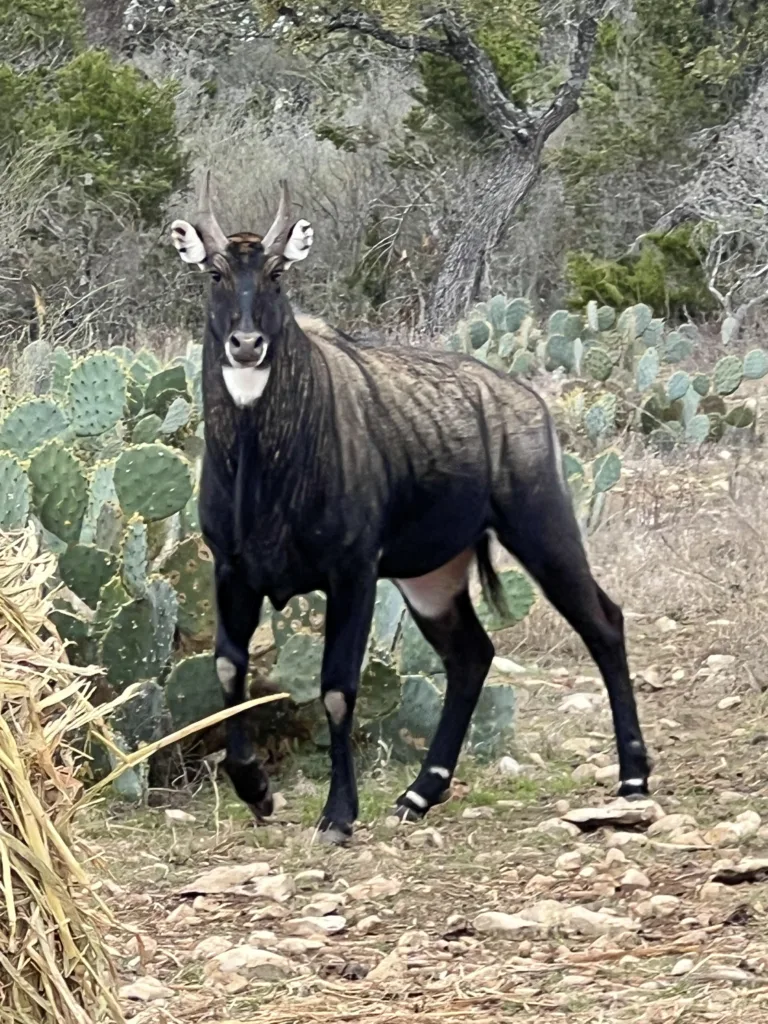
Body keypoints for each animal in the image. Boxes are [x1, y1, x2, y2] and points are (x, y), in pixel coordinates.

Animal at [170, 174, 650, 843]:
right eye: (215, 271)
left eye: (276, 273)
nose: (246, 344)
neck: (262, 467)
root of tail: (525, 401)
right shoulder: (231, 570)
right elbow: (226, 671)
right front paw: (256, 791)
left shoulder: (352, 572)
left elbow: (337, 688)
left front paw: (338, 815)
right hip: (431, 578)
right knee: (471, 656)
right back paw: (419, 794)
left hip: (542, 530)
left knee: (604, 623)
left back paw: (633, 779)